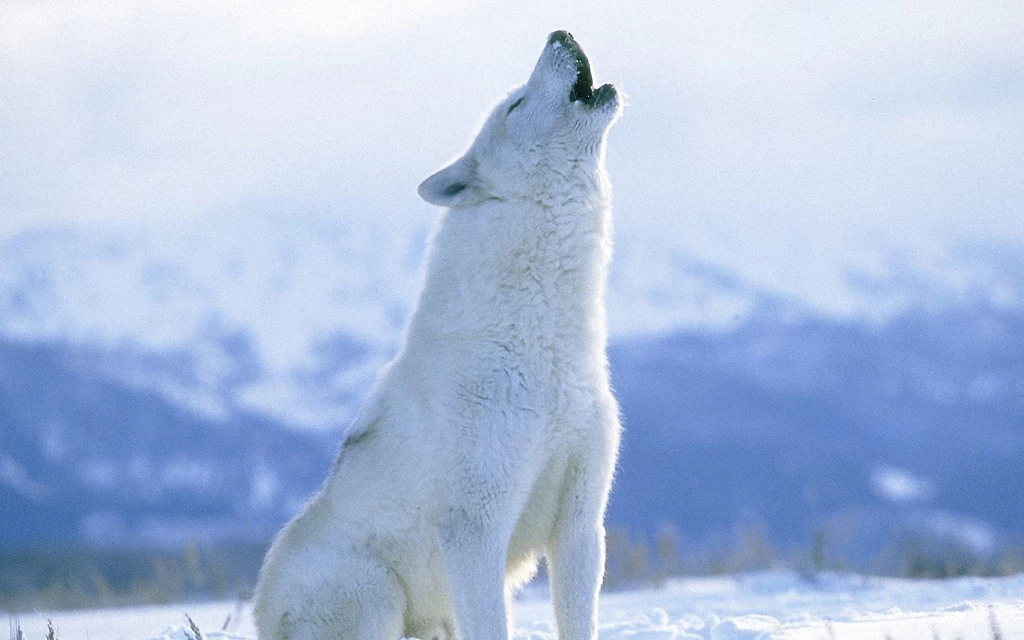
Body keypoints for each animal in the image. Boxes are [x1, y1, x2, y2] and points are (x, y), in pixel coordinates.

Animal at [254, 30, 623, 640]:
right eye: (515, 105)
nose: (560, 33)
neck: (545, 352)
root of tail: (262, 615)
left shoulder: (581, 525)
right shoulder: (475, 532)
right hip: (376, 596)